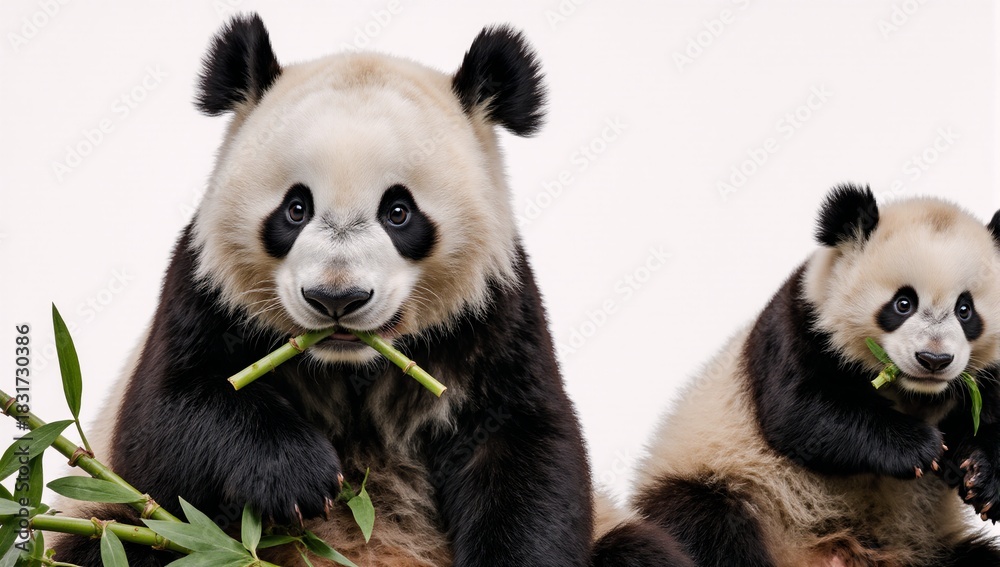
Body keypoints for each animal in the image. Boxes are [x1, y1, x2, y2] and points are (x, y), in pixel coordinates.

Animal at [51, 14, 597, 567]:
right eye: (296, 208)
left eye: (399, 212)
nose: (337, 299)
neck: (347, 367)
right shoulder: (203, 293)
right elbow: (165, 425)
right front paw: (300, 477)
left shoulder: (495, 315)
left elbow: (525, 450)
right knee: (112, 538)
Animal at [597, 185, 1000, 566]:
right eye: (903, 303)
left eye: (965, 310)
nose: (934, 359)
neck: (912, 392)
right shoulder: (799, 323)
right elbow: (803, 414)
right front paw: (920, 447)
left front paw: (982, 480)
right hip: (721, 479)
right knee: (706, 520)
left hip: (930, 547)